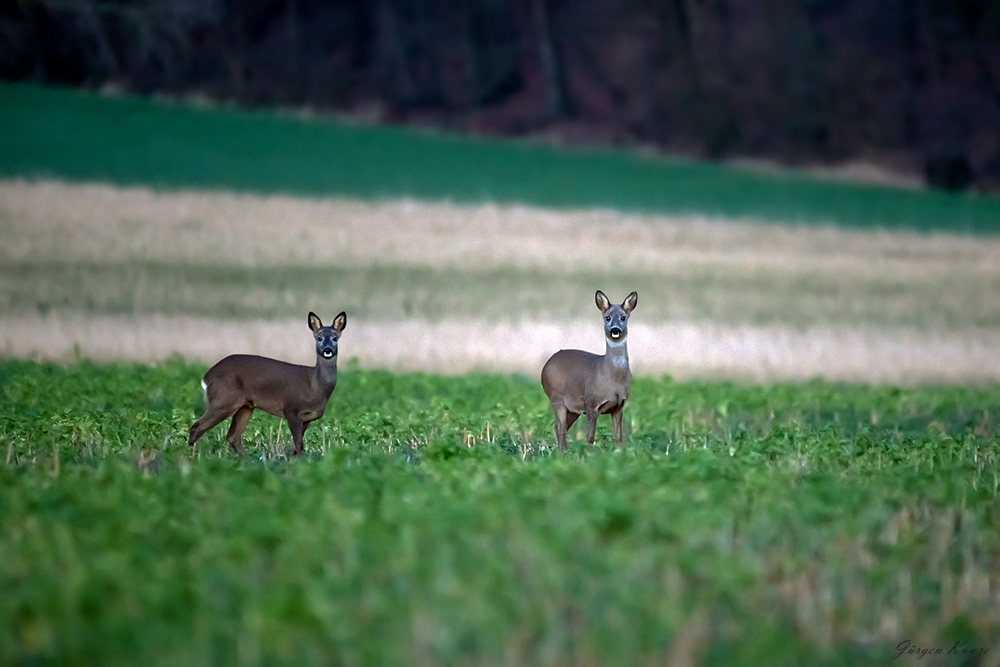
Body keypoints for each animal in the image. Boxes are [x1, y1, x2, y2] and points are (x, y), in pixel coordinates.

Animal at [190, 314, 348, 460]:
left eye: (334, 338)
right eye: (319, 338)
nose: (327, 349)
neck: (314, 386)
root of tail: (207, 377)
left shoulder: (307, 419)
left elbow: (295, 447)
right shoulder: (292, 410)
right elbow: (298, 444)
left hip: (245, 406)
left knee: (232, 436)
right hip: (223, 400)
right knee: (196, 428)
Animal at [544, 290, 636, 452]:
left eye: (623, 317)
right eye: (607, 317)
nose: (615, 330)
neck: (613, 378)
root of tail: (545, 366)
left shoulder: (619, 406)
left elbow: (618, 438)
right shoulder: (591, 403)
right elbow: (590, 438)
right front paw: (589, 455)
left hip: (572, 409)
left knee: (559, 427)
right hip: (556, 397)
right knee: (560, 428)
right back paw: (563, 454)